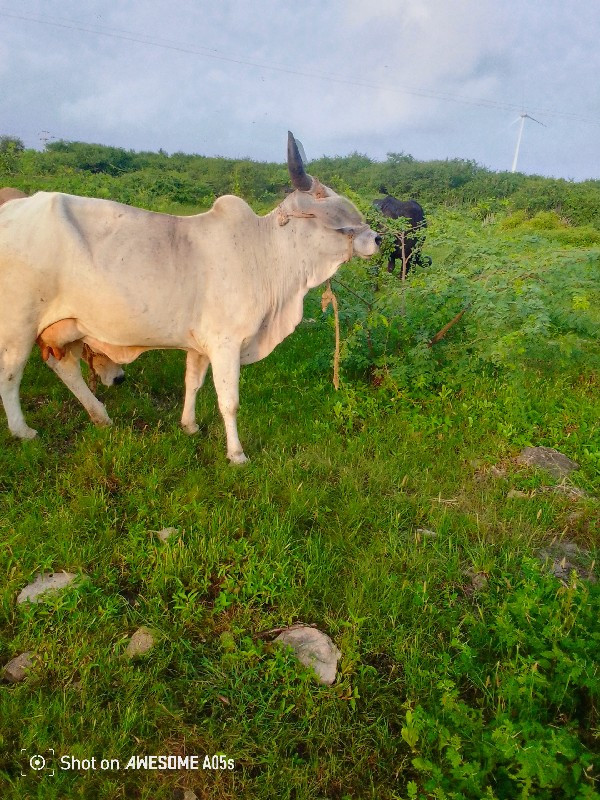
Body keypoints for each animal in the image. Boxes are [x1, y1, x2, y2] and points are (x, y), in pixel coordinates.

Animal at [0, 133, 380, 462]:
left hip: (67, 326)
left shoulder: (199, 345)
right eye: (333, 213)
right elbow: (229, 400)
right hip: (19, 325)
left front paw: (190, 426)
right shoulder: (226, 342)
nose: (376, 238)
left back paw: (100, 417)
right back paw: (24, 431)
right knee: (10, 375)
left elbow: (193, 383)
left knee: (64, 367)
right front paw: (237, 454)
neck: (264, 254)